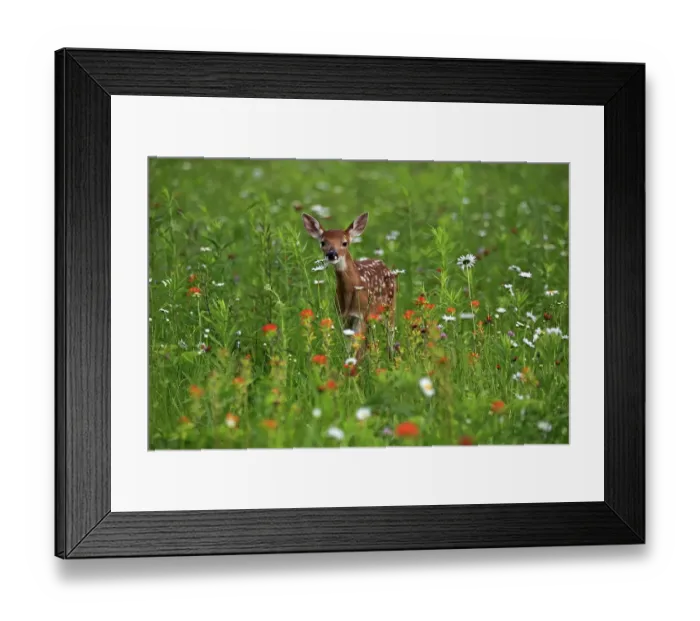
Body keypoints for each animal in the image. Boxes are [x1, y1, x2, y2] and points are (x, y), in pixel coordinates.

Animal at [302, 212, 397, 357]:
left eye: (344, 243)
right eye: (323, 242)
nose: (332, 254)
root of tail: (385, 266)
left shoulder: (360, 314)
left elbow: (357, 349)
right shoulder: (344, 316)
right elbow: (348, 348)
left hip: (390, 307)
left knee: (389, 337)